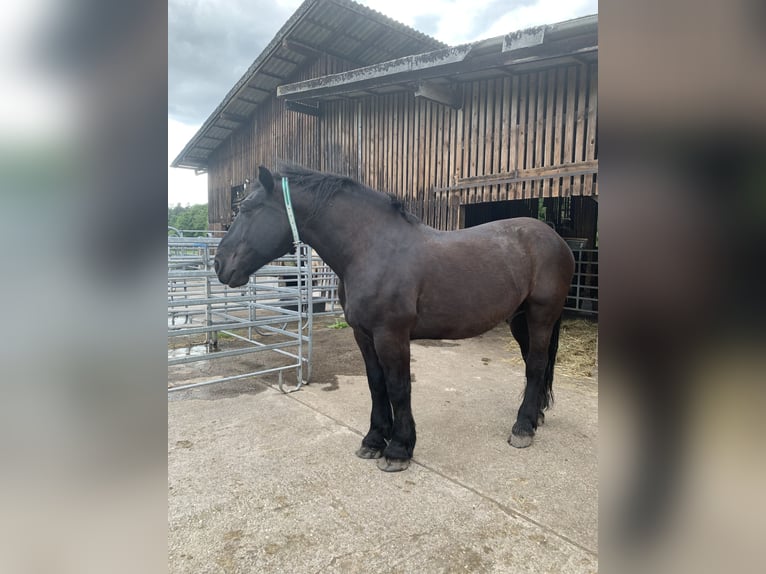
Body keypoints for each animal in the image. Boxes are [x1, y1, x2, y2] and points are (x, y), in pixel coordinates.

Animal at [214, 163, 575, 472]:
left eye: (247, 208)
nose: (219, 264)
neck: (370, 249)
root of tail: (555, 238)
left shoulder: (391, 335)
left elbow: (398, 387)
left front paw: (399, 449)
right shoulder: (363, 334)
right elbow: (377, 384)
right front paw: (374, 440)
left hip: (542, 316)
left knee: (536, 365)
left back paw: (523, 427)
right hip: (520, 319)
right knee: (535, 364)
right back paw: (536, 416)